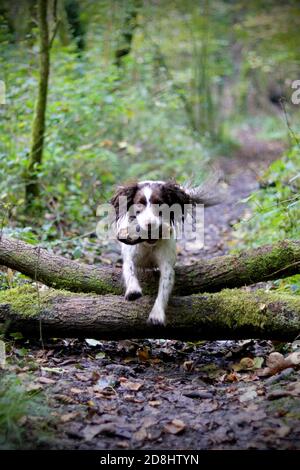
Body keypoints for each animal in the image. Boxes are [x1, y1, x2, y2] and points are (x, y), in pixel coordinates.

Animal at [110, 178, 218, 324]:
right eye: (139, 204)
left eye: (159, 203)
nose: (149, 224)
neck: (149, 245)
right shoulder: (130, 255)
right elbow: (129, 268)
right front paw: (133, 291)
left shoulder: (167, 266)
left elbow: (163, 289)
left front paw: (157, 315)